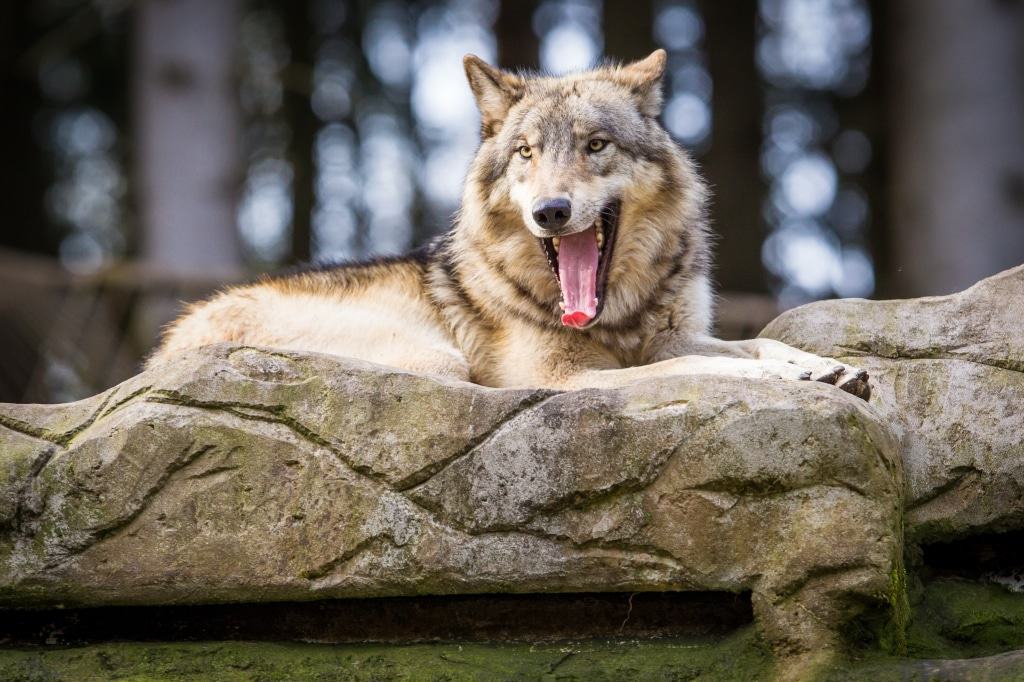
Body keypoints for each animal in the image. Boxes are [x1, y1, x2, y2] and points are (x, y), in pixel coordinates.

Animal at [149, 50, 869, 400]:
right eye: (526, 153)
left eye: (596, 145)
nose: (550, 212)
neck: (617, 314)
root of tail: (160, 352)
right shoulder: (563, 380)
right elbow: (698, 368)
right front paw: (778, 380)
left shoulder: (673, 335)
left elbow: (750, 344)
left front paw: (819, 368)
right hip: (434, 359)